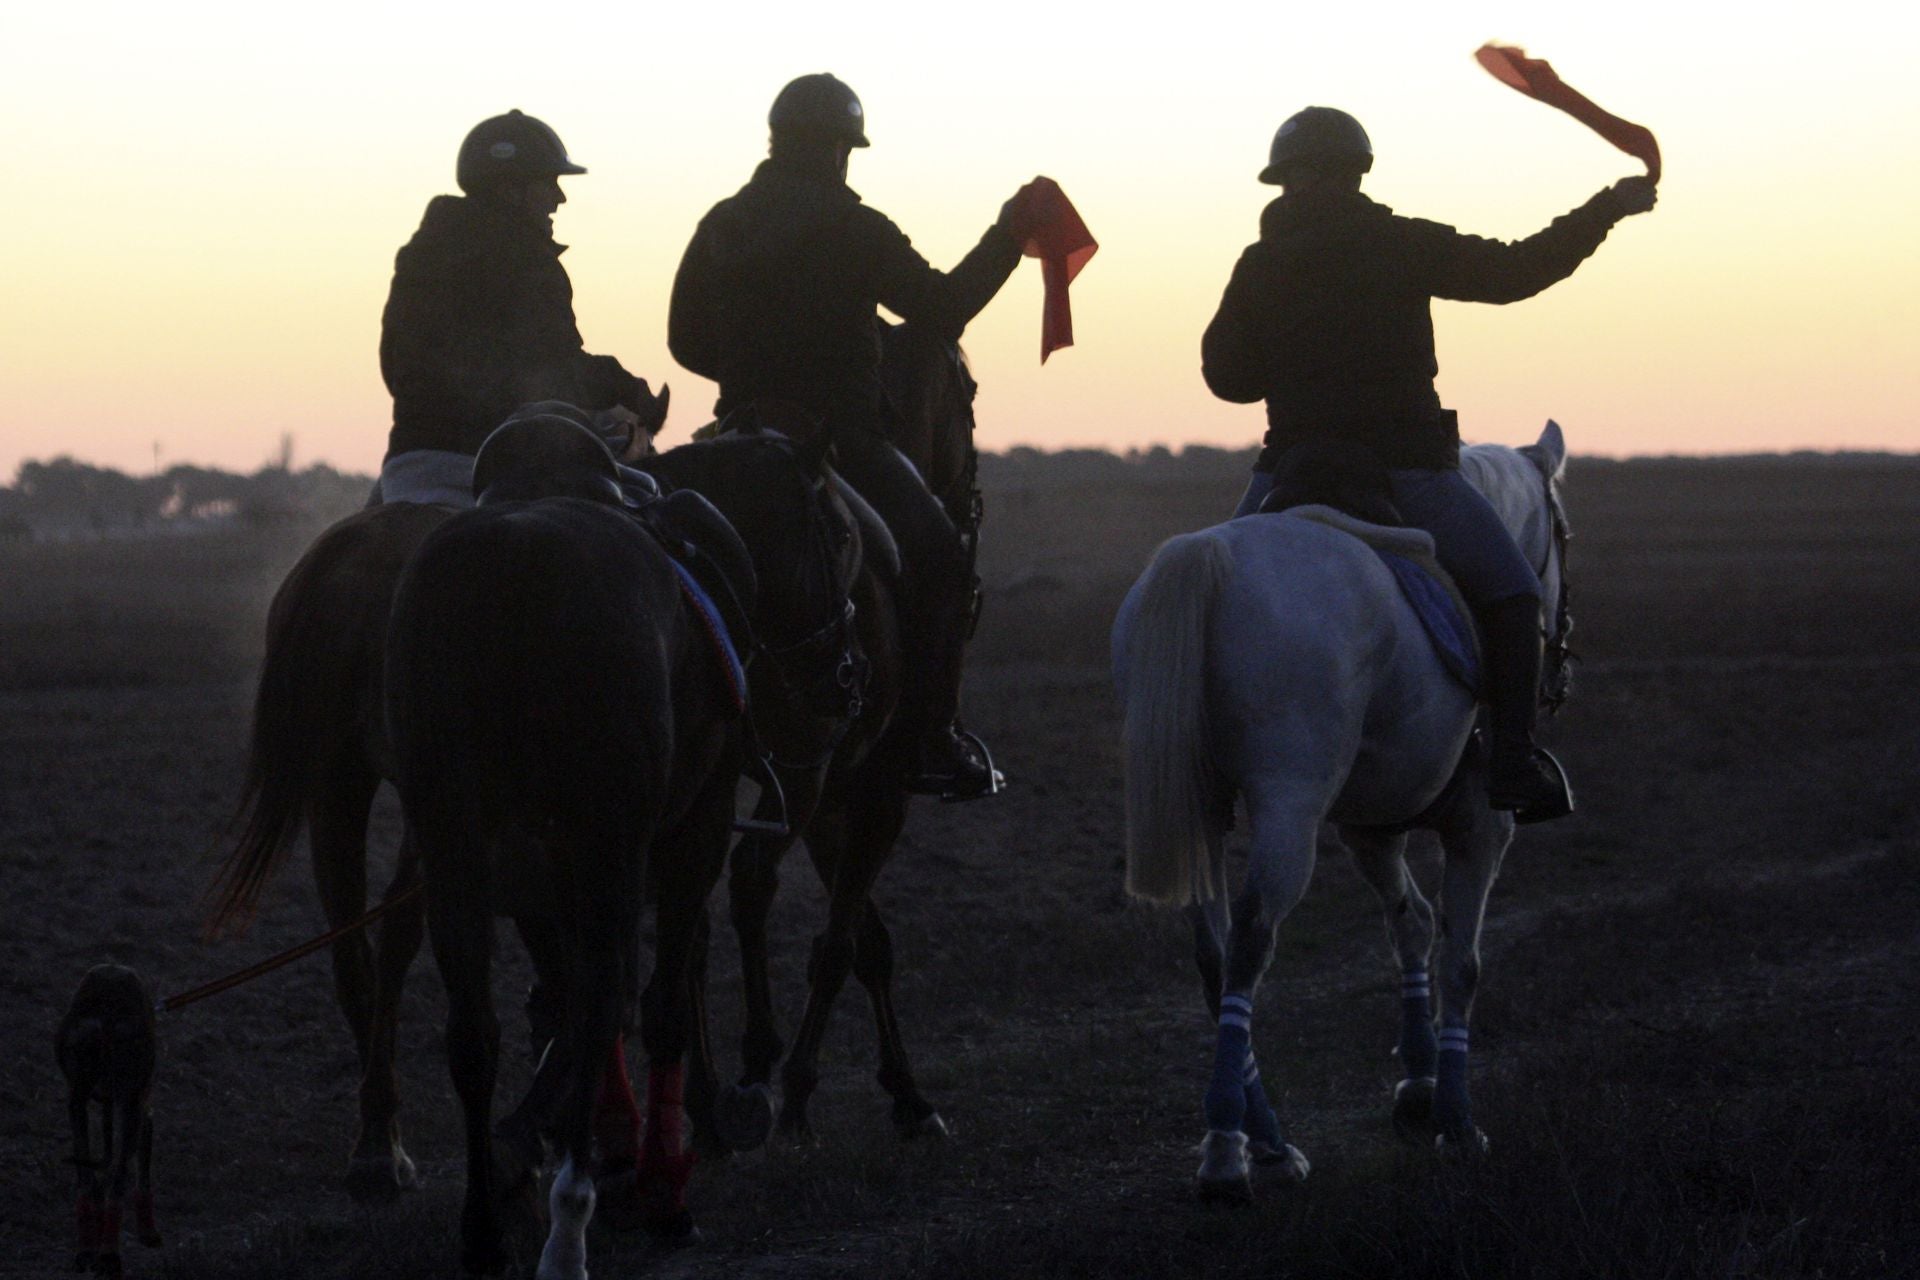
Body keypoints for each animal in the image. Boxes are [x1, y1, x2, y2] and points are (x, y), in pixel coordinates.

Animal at [380, 426, 856, 1274]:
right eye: (837, 536)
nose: (844, 675)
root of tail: (508, 566)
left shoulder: (551, 869)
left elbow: (571, 1008)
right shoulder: (686, 832)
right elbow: (657, 1004)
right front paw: (658, 1190)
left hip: (458, 848)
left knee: (476, 1031)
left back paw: (485, 1227)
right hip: (605, 840)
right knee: (607, 997)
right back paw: (568, 1230)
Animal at [687, 314, 990, 1143]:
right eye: (969, 396)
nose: (970, 498)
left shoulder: (837, 795)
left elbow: (867, 942)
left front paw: (902, 1090)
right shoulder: (872, 786)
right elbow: (843, 940)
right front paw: (800, 1086)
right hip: (797, 764)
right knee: (748, 881)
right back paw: (753, 1067)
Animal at [1113, 420, 1574, 1205]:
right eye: (1565, 535)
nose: (1560, 663)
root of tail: (1208, 559)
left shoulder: (1370, 830)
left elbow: (1411, 927)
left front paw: (1418, 1086)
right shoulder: (1482, 828)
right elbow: (1462, 962)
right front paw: (1457, 1122)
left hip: (1199, 810)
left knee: (1213, 955)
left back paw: (1266, 1142)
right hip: (1289, 802)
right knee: (1251, 939)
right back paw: (1227, 1153)